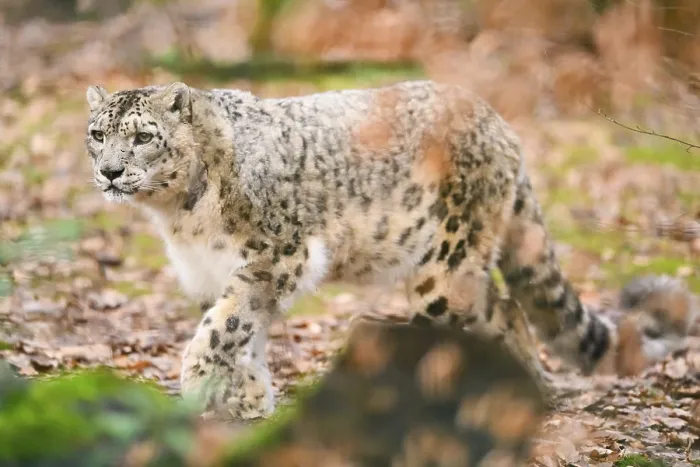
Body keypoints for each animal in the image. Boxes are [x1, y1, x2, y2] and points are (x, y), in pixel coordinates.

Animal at [84, 79, 697, 420]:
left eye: (143, 136)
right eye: (98, 133)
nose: (109, 171)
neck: (179, 214)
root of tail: (498, 121)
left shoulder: (274, 256)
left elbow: (222, 326)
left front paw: (198, 384)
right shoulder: (222, 272)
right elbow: (244, 331)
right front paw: (249, 402)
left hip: (446, 265)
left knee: (481, 316)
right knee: (507, 309)